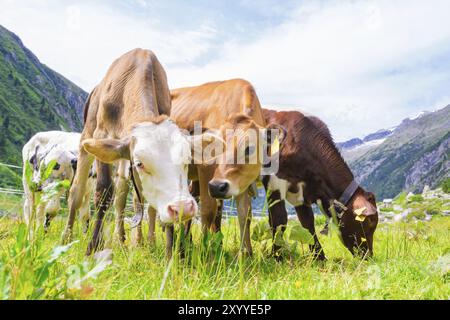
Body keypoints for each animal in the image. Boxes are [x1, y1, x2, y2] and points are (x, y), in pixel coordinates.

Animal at [62, 48, 197, 255]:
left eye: (187, 159)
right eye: (140, 163)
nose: (182, 207)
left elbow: (146, 203)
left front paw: (162, 247)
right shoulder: (102, 135)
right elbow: (104, 191)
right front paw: (93, 246)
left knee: (122, 196)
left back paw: (122, 238)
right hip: (87, 139)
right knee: (77, 191)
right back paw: (67, 236)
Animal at [171, 79, 284, 255]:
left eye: (250, 148)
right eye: (216, 148)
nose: (218, 186)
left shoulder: (242, 180)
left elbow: (245, 214)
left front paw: (246, 253)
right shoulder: (205, 170)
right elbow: (208, 210)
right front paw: (204, 250)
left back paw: (185, 242)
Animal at [262, 109, 378, 260]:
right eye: (370, 222)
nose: (369, 256)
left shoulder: (301, 190)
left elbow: (307, 223)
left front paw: (319, 257)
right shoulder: (274, 182)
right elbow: (279, 220)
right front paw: (277, 256)